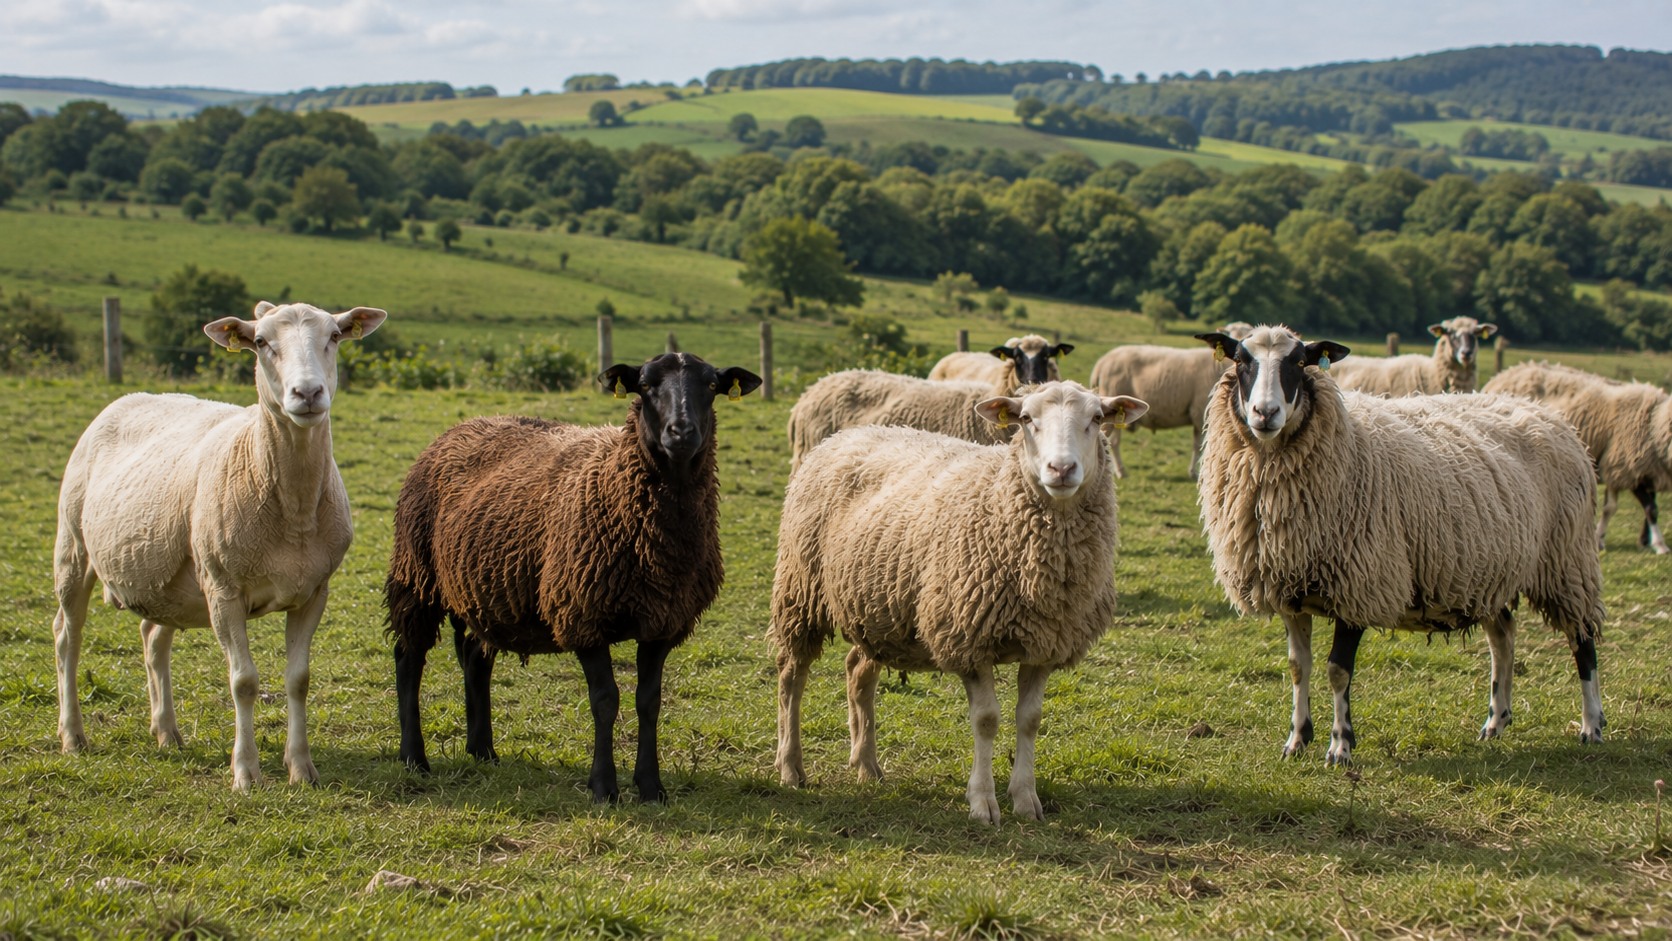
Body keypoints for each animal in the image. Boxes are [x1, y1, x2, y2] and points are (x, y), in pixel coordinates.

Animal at [52, 301, 387, 791]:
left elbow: (299, 679)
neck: (294, 509)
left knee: (153, 637)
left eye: (334, 337)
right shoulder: (224, 590)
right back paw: (74, 736)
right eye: (262, 342)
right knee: (67, 636)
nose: (308, 393)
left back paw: (166, 732)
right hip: (74, 545)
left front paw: (301, 768)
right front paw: (246, 773)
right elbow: (244, 682)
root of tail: (128, 397)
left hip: (170, 579)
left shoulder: (314, 591)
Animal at [385, 352, 762, 803]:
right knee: (409, 657)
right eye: (646, 386)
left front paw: (651, 787)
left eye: (711, 386)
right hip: (416, 576)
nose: (682, 432)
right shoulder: (584, 614)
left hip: (482, 589)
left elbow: (648, 702)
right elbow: (605, 700)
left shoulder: (663, 622)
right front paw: (604, 787)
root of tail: (460, 426)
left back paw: (483, 751)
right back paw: (414, 757)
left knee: (475, 657)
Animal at [771, 381, 1149, 823]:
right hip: (800, 590)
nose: (1061, 469)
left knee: (858, 673)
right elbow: (986, 720)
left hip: (877, 608)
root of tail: (844, 435)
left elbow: (1030, 720)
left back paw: (866, 763)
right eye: (1025, 419)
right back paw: (791, 767)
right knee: (792, 677)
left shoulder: (1046, 644)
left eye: (1097, 418)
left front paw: (1026, 799)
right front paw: (983, 802)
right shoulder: (968, 637)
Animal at [1194, 325, 1605, 766]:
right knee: (1503, 638)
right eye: (1241, 361)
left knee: (1582, 641)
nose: (1265, 414)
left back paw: (1591, 726)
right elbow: (1297, 667)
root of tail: (1545, 413)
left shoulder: (1361, 583)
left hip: (1567, 560)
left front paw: (1340, 746)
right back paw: (1496, 722)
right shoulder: (1288, 587)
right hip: (1489, 569)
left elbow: (1337, 671)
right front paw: (1297, 740)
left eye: (1299, 362)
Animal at [1484, 361, 1672, 555]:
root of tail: (1508, 372)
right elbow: (1649, 509)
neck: (1654, 421)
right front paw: (1659, 544)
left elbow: (1618, 508)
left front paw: (1642, 540)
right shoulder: (1625, 469)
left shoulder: (1637, 471)